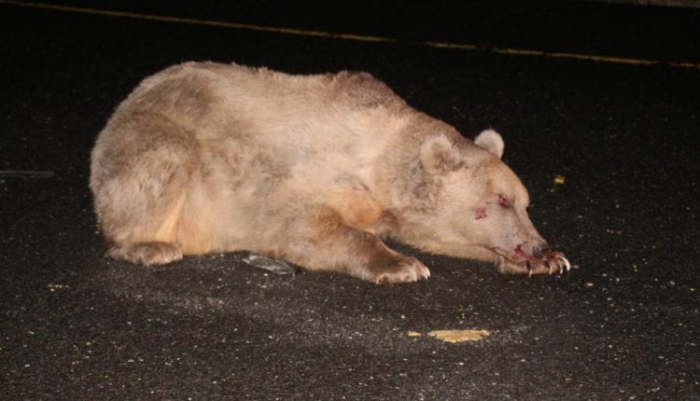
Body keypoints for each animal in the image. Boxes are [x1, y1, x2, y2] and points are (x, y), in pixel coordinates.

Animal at [90, 61, 568, 282]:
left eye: (525, 202)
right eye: (500, 199)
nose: (538, 244)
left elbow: (436, 232)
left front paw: (546, 262)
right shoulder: (297, 177)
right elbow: (304, 229)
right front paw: (402, 265)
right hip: (149, 139)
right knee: (164, 160)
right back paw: (150, 245)